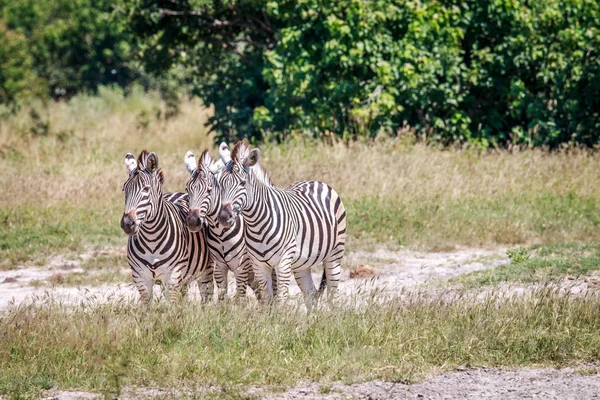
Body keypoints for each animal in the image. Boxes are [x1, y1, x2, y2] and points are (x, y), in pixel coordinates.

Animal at [119, 150, 213, 304]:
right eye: (124, 189)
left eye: (146, 189)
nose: (127, 224)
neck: (151, 238)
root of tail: (178, 193)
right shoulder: (140, 276)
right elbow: (147, 306)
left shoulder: (173, 275)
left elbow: (172, 307)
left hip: (205, 270)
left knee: (206, 296)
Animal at [184, 144, 276, 300]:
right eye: (187, 189)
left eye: (209, 190)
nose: (192, 221)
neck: (220, 233)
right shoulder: (219, 267)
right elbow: (222, 296)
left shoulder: (241, 267)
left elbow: (240, 297)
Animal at [217, 141, 346, 306]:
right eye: (220, 184)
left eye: (242, 183)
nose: (223, 217)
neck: (256, 224)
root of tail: (316, 182)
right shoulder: (259, 265)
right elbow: (267, 299)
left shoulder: (283, 262)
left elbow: (281, 300)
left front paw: (281, 313)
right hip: (301, 263)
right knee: (310, 294)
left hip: (335, 253)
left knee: (333, 295)